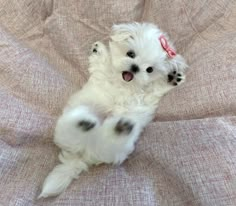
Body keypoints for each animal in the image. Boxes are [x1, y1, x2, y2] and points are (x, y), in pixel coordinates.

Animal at [39, 22, 189, 198]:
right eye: (130, 54)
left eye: (150, 69)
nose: (135, 67)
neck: (124, 83)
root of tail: (82, 155)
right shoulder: (103, 75)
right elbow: (102, 65)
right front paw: (98, 50)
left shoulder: (148, 96)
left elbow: (155, 89)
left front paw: (172, 78)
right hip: (70, 121)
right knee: (68, 134)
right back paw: (84, 123)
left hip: (114, 148)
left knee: (108, 147)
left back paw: (119, 128)